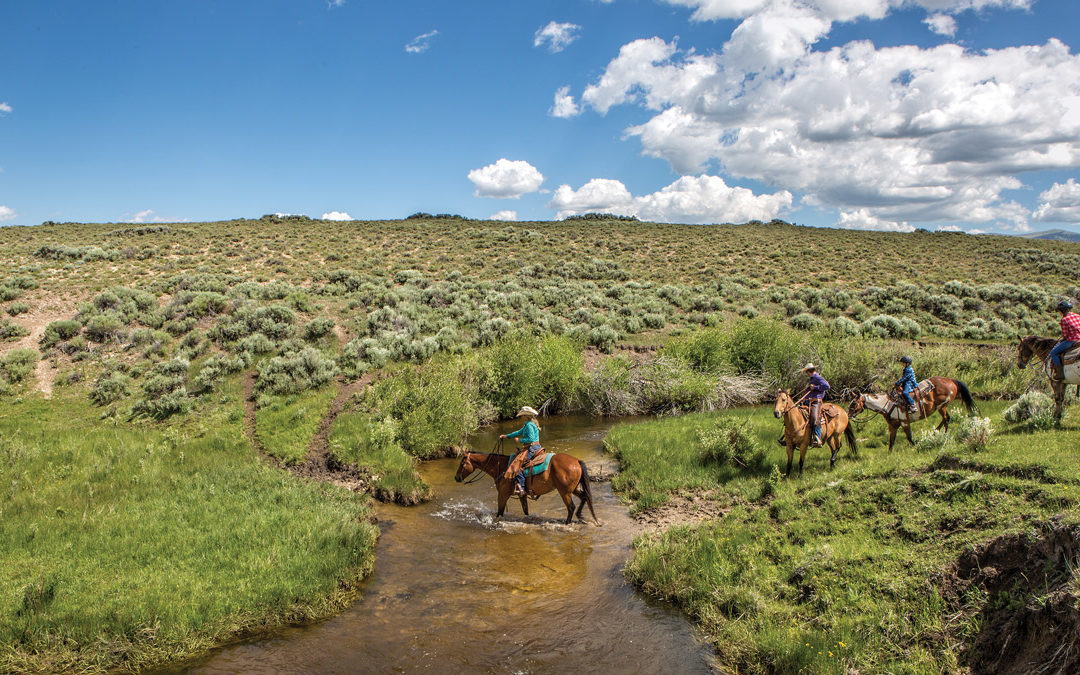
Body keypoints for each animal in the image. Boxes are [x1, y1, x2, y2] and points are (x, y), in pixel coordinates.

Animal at [449, 449, 596, 524]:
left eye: (462, 463)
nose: (456, 477)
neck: (501, 467)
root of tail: (576, 461)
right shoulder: (521, 495)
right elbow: (525, 511)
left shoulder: (502, 494)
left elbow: (500, 512)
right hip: (574, 488)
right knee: (584, 497)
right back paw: (580, 516)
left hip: (564, 491)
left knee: (571, 507)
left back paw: (567, 523)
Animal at [851, 375, 980, 449]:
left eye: (854, 404)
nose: (848, 415)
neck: (887, 404)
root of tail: (951, 380)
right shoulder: (893, 425)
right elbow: (891, 442)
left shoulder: (905, 422)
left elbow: (909, 438)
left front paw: (915, 446)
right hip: (942, 407)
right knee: (946, 419)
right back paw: (938, 433)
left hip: (942, 406)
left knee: (946, 419)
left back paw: (938, 433)